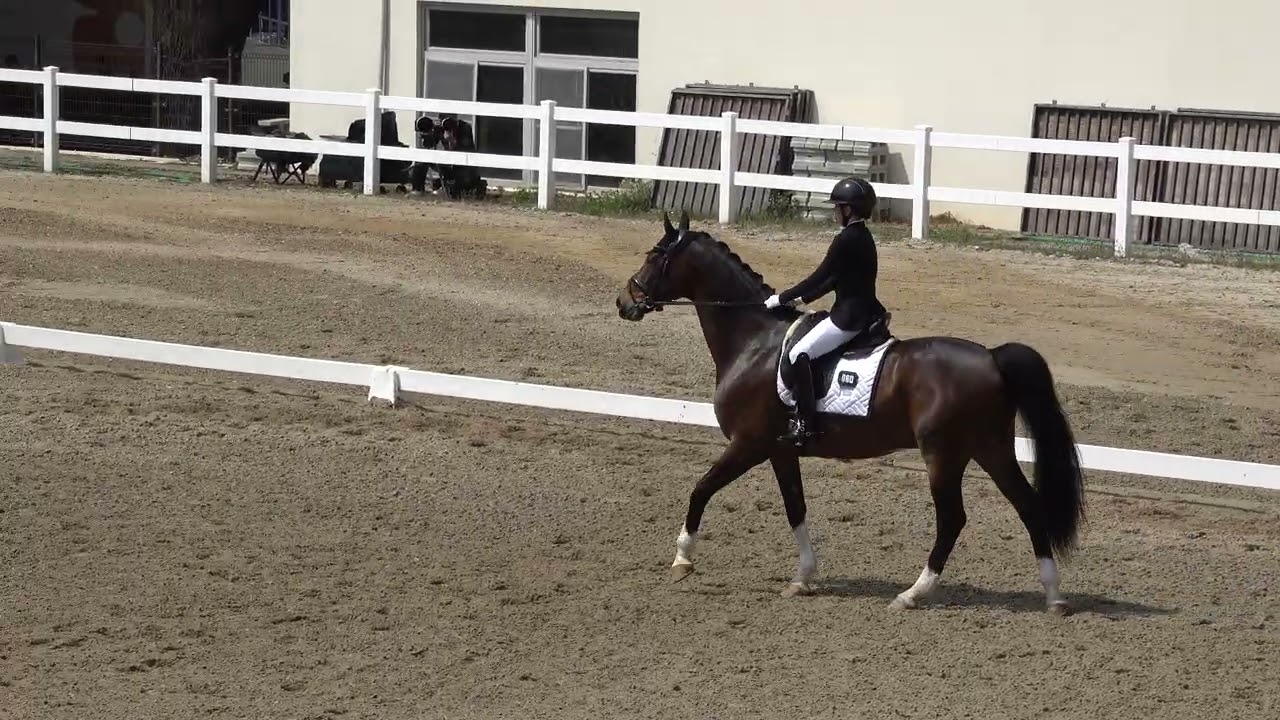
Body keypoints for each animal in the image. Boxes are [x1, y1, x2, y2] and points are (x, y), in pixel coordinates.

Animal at [614, 210, 1086, 615]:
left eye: (654, 256)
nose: (624, 301)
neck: (754, 342)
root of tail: (991, 357)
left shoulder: (748, 444)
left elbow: (701, 489)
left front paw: (682, 559)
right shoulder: (780, 450)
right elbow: (795, 508)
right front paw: (803, 578)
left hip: (944, 454)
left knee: (952, 519)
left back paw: (912, 594)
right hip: (991, 448)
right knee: (1028, 506)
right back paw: (1054, 597)